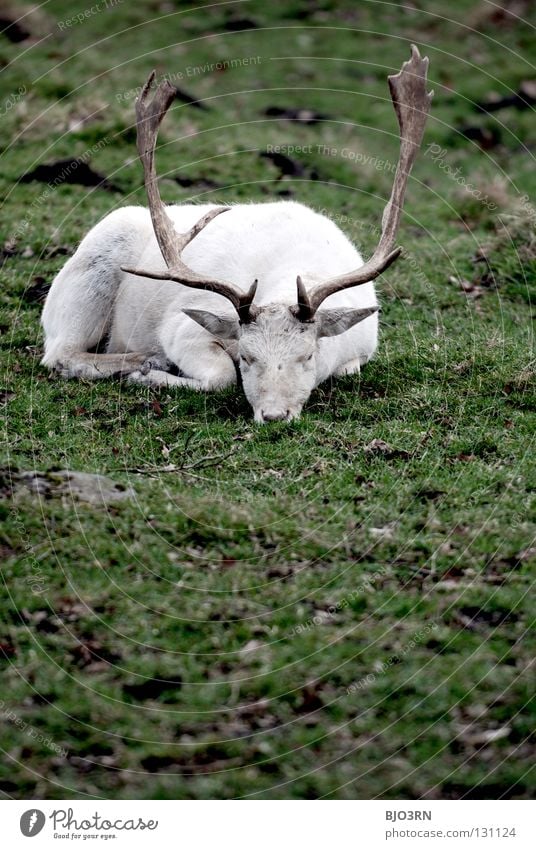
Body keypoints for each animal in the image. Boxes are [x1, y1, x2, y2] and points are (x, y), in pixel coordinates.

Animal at [40, 44, 432, 422]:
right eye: (246, 356)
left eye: (307, 355)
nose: (274, 415)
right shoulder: (182, 327)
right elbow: (222, 377)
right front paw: (148, 374)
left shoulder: (362, 349)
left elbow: (348, 369)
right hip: (91, 272)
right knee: (61, 354)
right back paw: (139, 361)